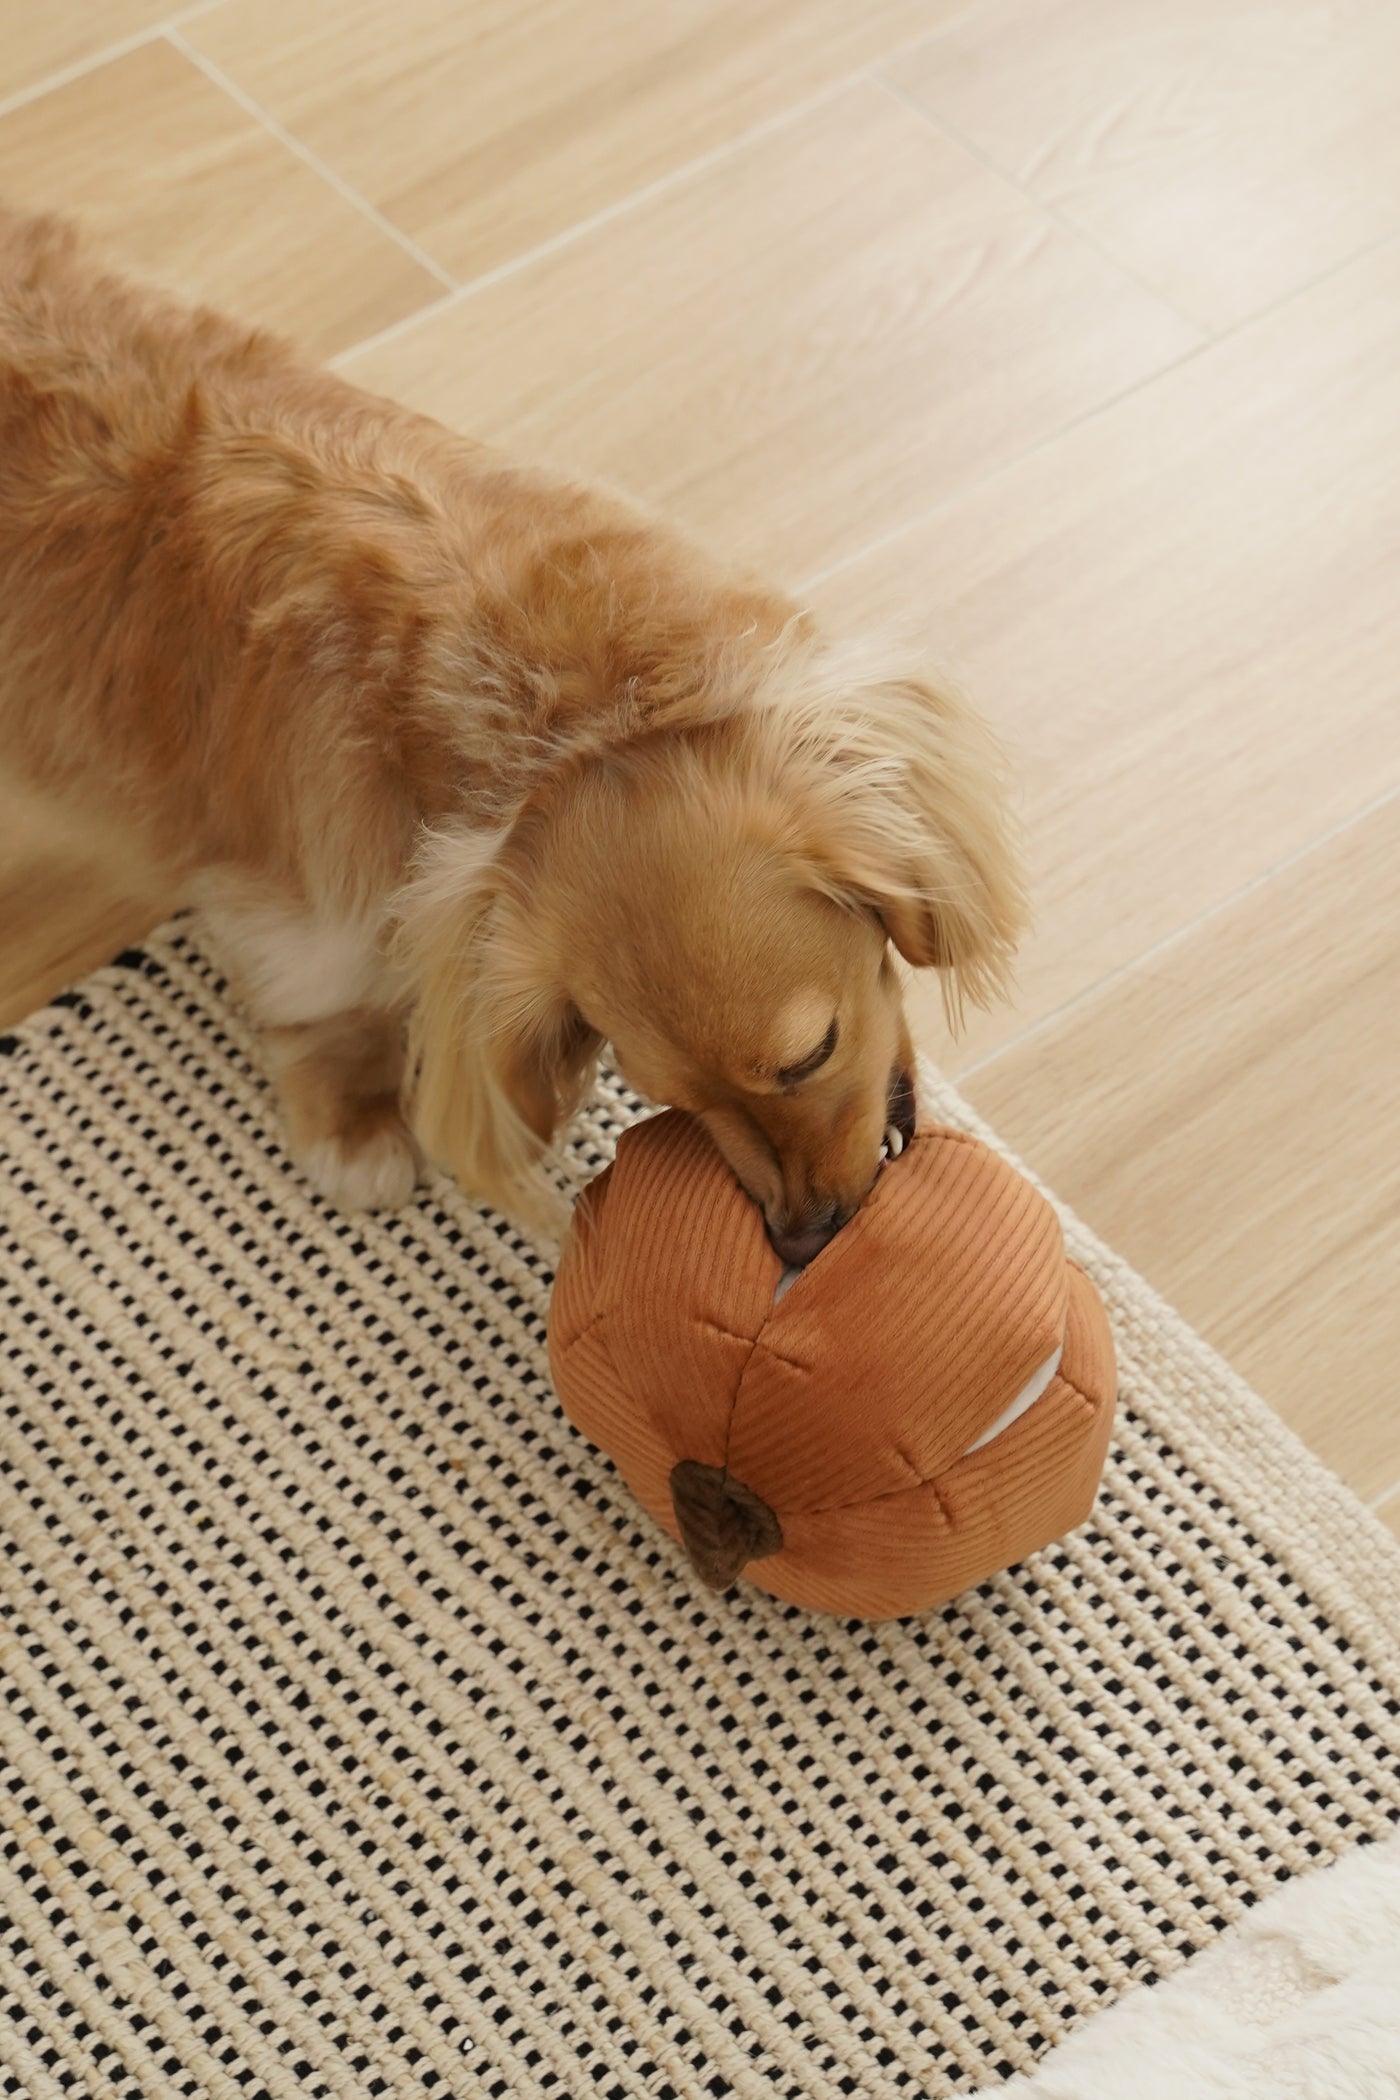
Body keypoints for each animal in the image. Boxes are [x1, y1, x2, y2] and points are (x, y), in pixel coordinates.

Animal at [2, 208, 1028, 1260]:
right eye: (669, 1096)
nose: (806, 1240)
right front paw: (354, 1121)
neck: (585, 720)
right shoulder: (300, 879)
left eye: (810, 1053)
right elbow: (325, 994)